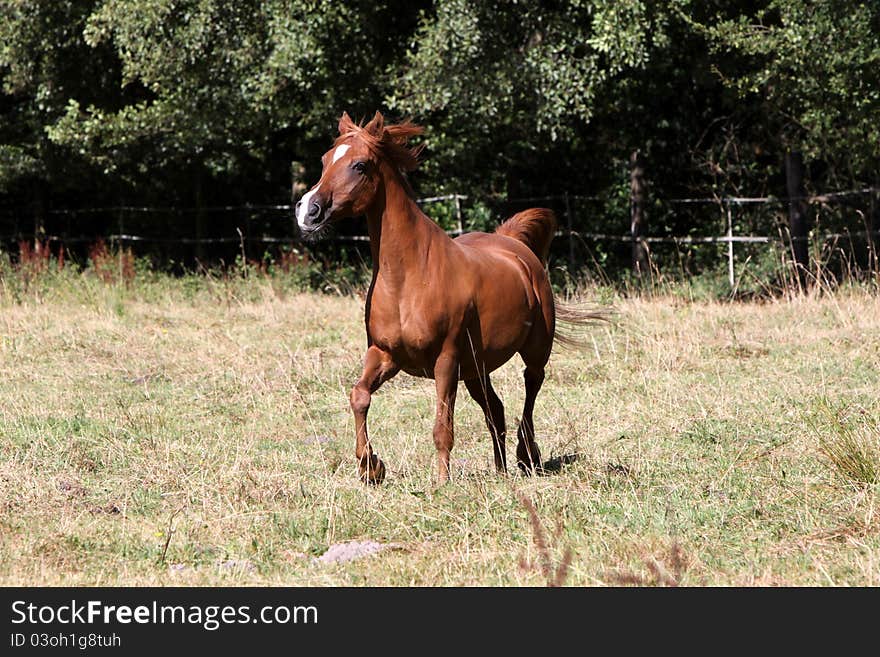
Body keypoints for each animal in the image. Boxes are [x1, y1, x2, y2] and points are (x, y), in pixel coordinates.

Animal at [296, 111, 600, 482]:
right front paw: (372, 467)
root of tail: (514, 245)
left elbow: (443, 425)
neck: (410, 277)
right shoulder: (384, 354)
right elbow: (359, 396)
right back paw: (500, 471)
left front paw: (442, 482)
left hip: (533, 351)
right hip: (476, 369)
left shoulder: (446, 360)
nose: (308, 211)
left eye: (360, 165)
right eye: (326, 160)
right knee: (495, 410)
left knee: (531, 387)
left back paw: (527, 456)